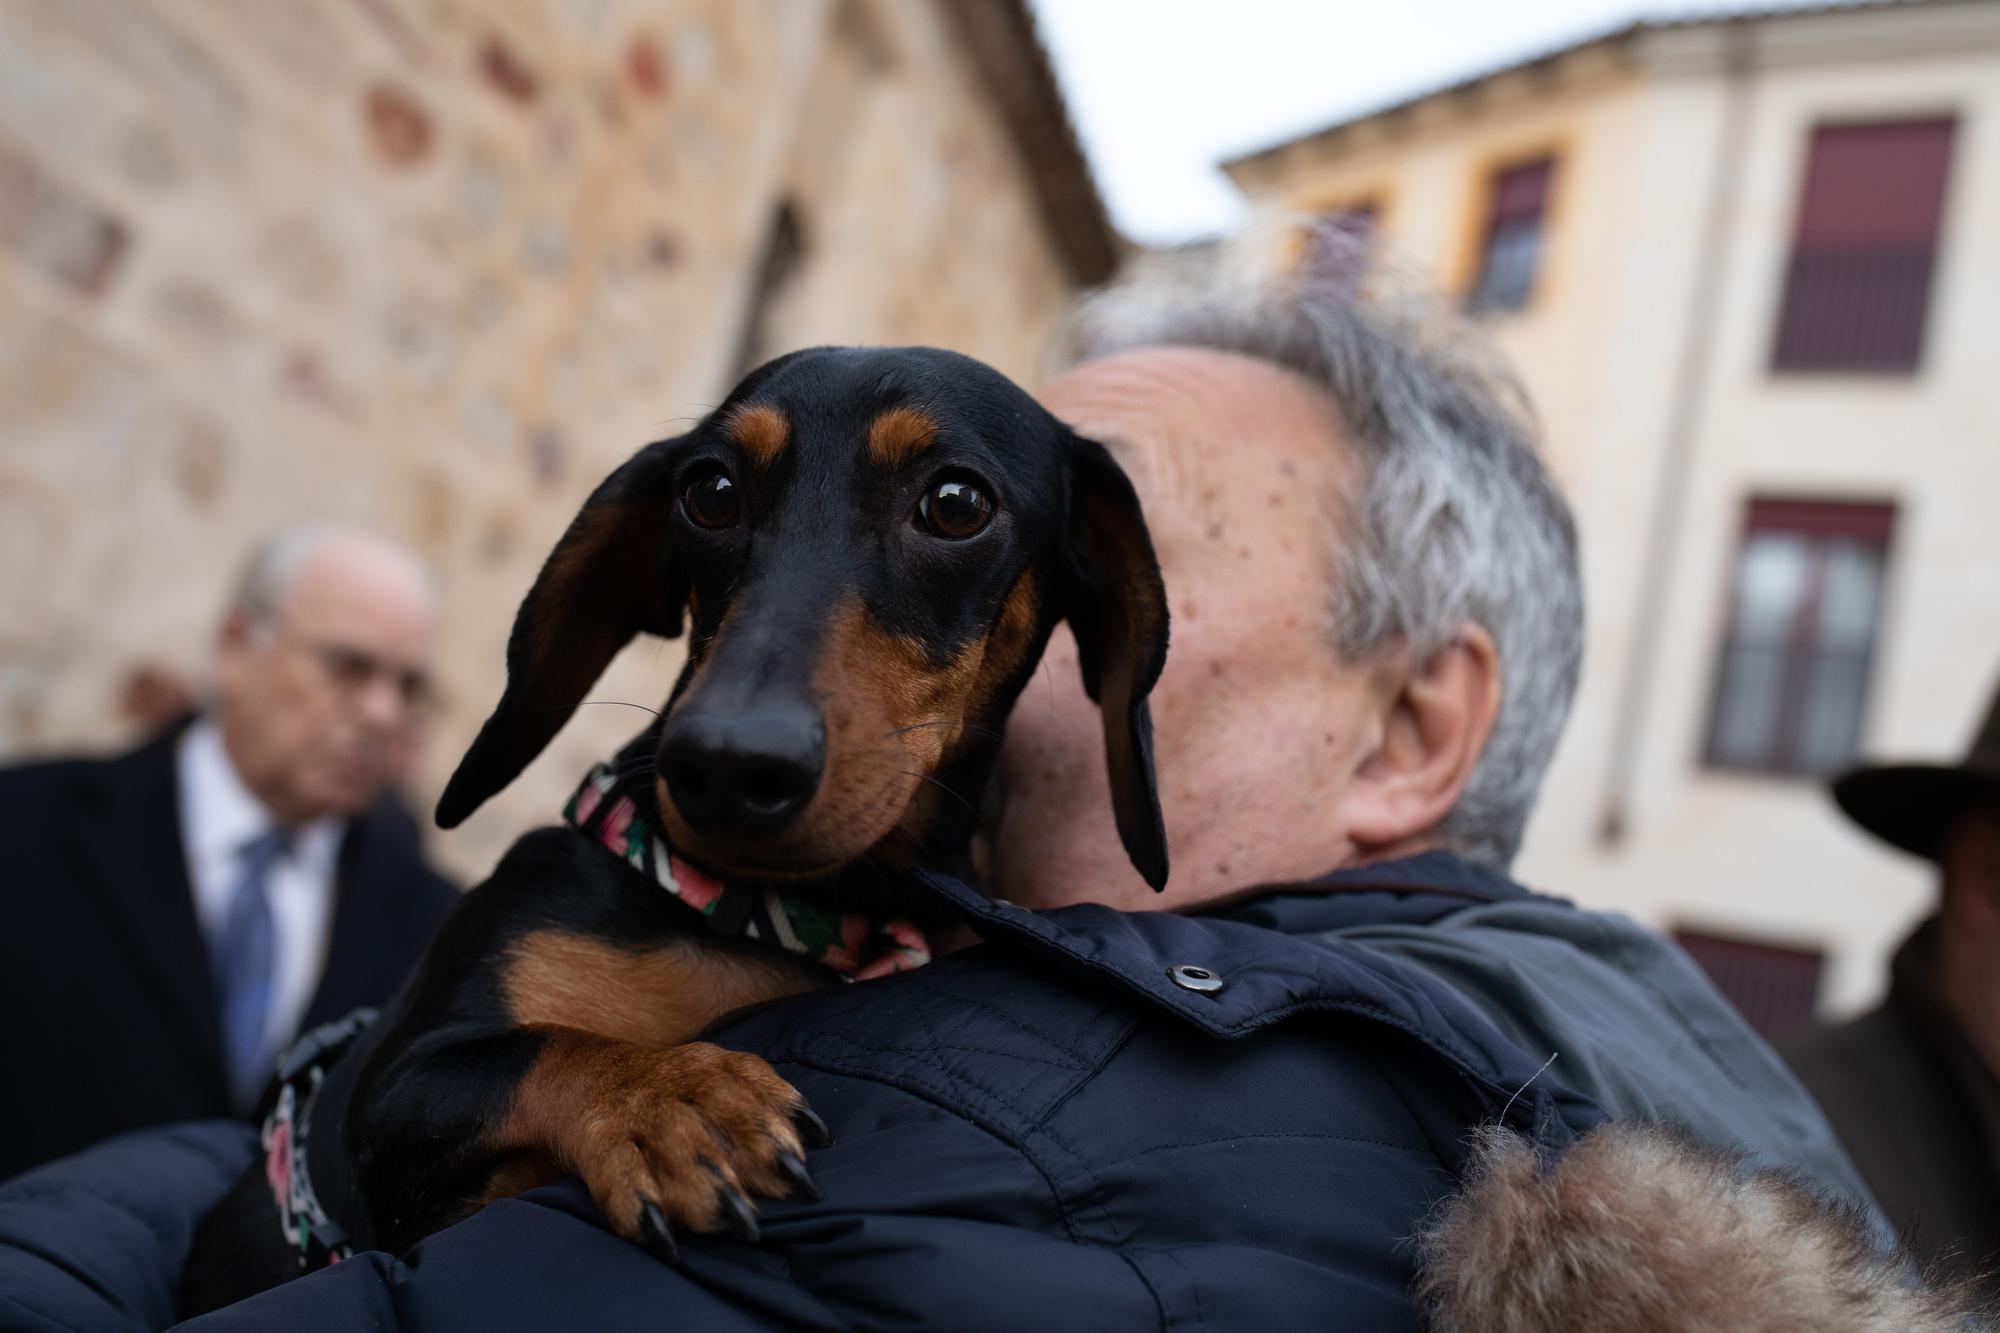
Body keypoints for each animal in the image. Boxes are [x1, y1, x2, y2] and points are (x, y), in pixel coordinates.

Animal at [184, 344, 1168, 1304]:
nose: (728, 763)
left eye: (957, 504)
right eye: (711, 491)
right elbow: (546, 1047)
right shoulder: (387, 1098)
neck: (773, 919)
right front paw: (669, 1094)